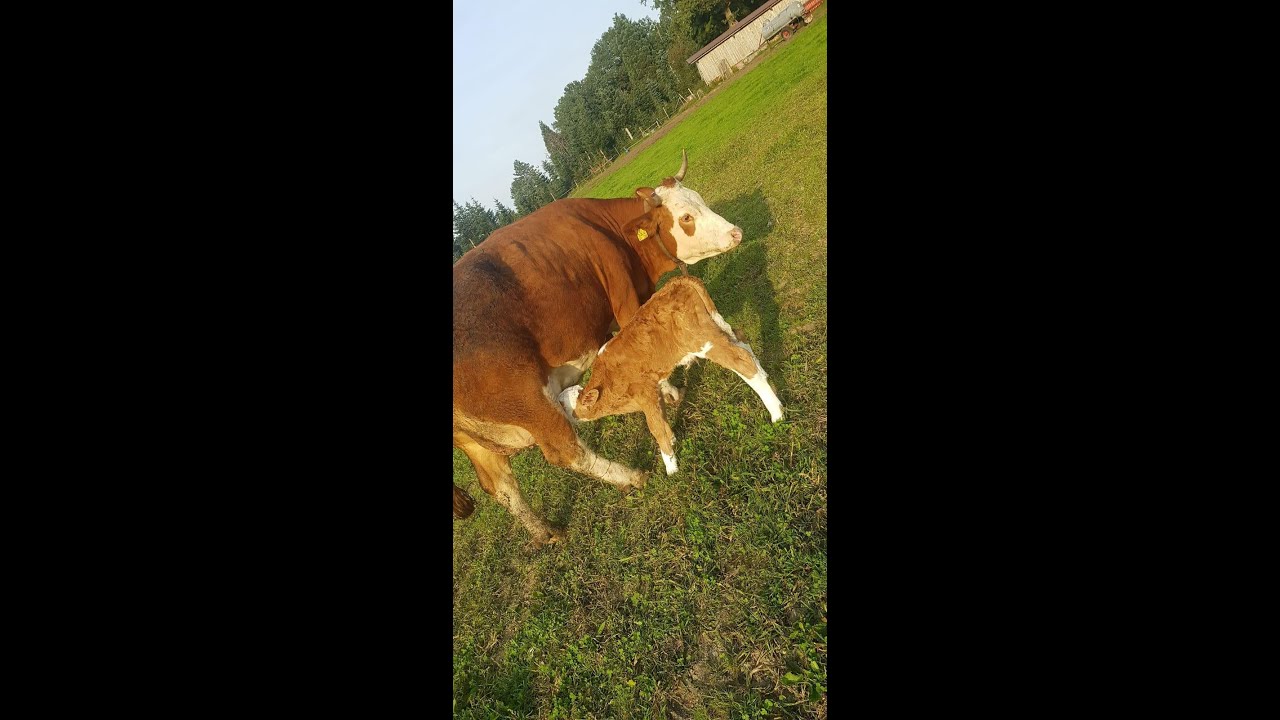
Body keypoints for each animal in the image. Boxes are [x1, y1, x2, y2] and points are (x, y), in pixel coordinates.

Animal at [453, 151, 744, 546]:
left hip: (474, 441)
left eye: (699, 199)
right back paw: (632, 476)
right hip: (529, 403)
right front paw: (669, 393)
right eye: (685, 217)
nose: (735, 232)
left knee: (499, 486)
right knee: (566, 452)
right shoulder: (624, 297)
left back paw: (547, 532)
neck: (611, 233)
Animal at [557, 275, 783, 477]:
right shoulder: (655, 391)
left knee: (741, 361)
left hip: (704, 341)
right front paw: (673, 443)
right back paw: (767, 379)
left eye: (562, 404)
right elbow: (663, 420)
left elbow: (655, 428)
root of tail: (676, 282)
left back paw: (776, 413)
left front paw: (671, 468)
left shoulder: (645, 394)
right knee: (742, 339)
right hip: (716, 328)